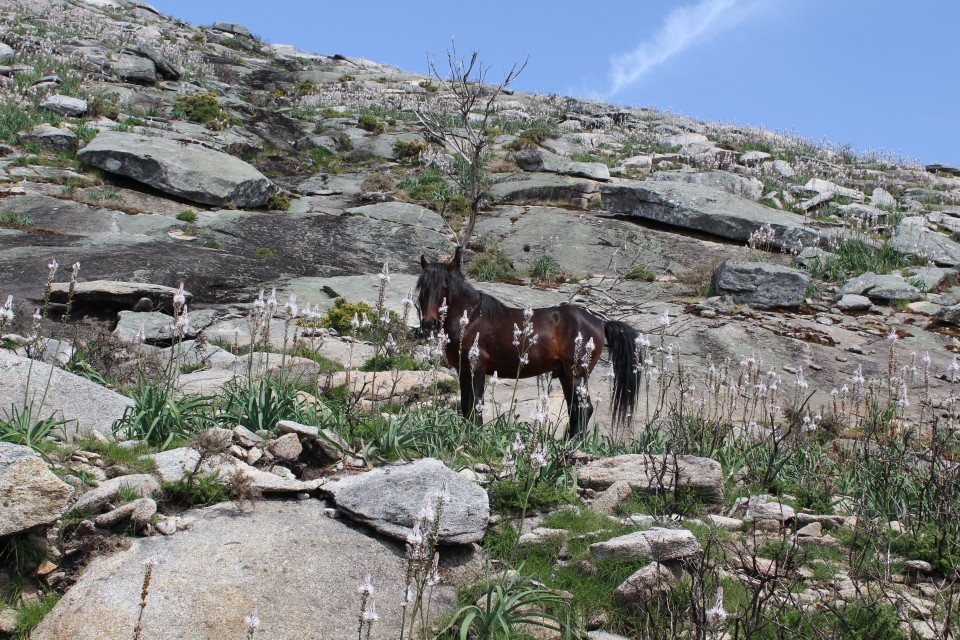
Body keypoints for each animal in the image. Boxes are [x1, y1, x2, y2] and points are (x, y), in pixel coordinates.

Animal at [416, 248, 640, 438]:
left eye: (444, 287)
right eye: (422, 287)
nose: (428, 323)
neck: (471, 318)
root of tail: (600, 322)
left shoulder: (477, 367)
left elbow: (476, 404)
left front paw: (476, 436)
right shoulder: (463, 370)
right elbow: (465, 406)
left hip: (577, 373)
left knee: (584, 407)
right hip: (566, 375)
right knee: (575, 407)